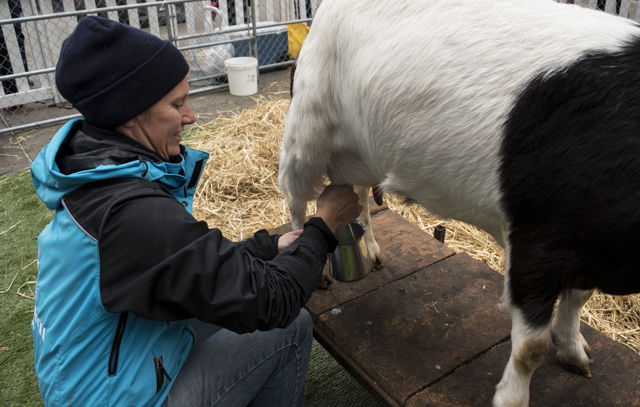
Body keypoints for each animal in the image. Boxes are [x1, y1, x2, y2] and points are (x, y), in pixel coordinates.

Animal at [280, 0, 640, 406]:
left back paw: (371, 252)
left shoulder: (585, 242)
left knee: (354, 194)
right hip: (306, 130)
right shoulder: (537, 241)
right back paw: (317, 270)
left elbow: (579, 297)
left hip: (362, 151)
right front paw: (512, 398)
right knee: (295, 198)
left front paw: (574, 351)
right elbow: (531, 346)